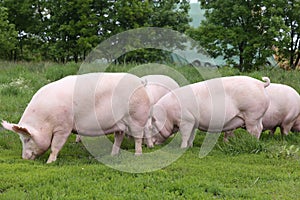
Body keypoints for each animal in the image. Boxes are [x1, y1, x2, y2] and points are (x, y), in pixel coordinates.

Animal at [1, 72, 151, 163]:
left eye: (26, 139)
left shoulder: (63, 127)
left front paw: (49, 162)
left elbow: (55, 145)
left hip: (137, 118)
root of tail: (140, 81)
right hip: (119, 123)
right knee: (119, 137)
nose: (24, 158)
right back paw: (112, 155)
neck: (45, 120)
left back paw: (137, 155)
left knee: (138, 137)